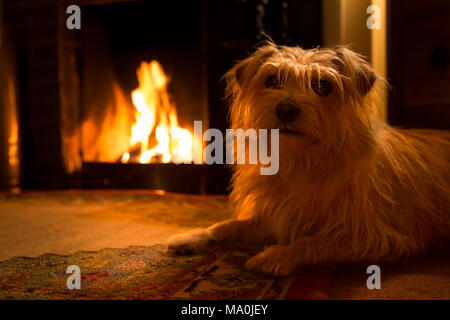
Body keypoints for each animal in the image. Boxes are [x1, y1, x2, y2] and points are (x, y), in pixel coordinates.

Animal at [168, 43, 450, 278]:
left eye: (323, 86)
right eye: (272, 80)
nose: (286, 109)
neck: (301, 161)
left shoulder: (375, 236)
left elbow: (312, 242)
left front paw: (276, 255)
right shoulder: (274, 215)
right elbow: (229, 225)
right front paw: (195, 236)